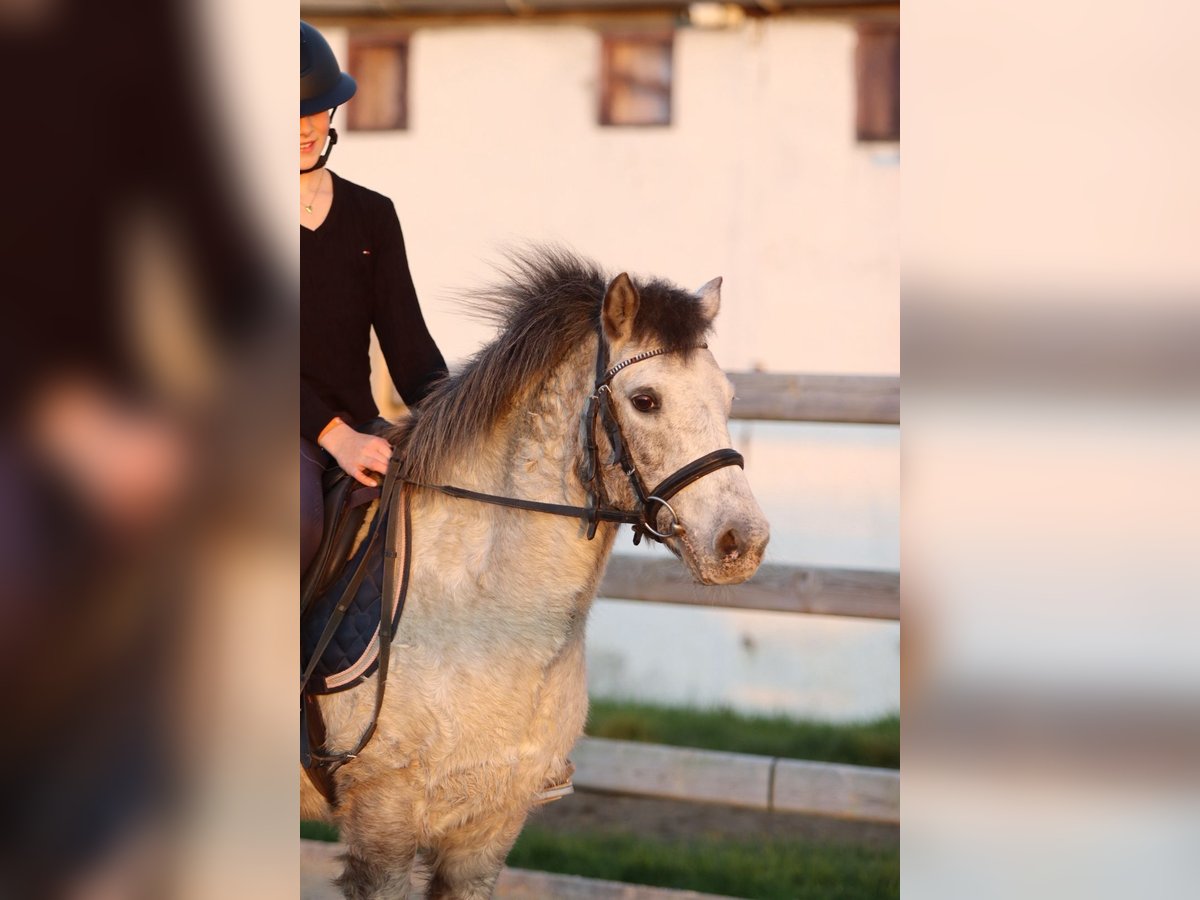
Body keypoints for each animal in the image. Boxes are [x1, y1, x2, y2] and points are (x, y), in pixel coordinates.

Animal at [302, 249, 770, 899]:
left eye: (727, 398)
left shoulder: (488, 831)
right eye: (646, 400)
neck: (479, 618)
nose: (742, 543)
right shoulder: (381, 826)